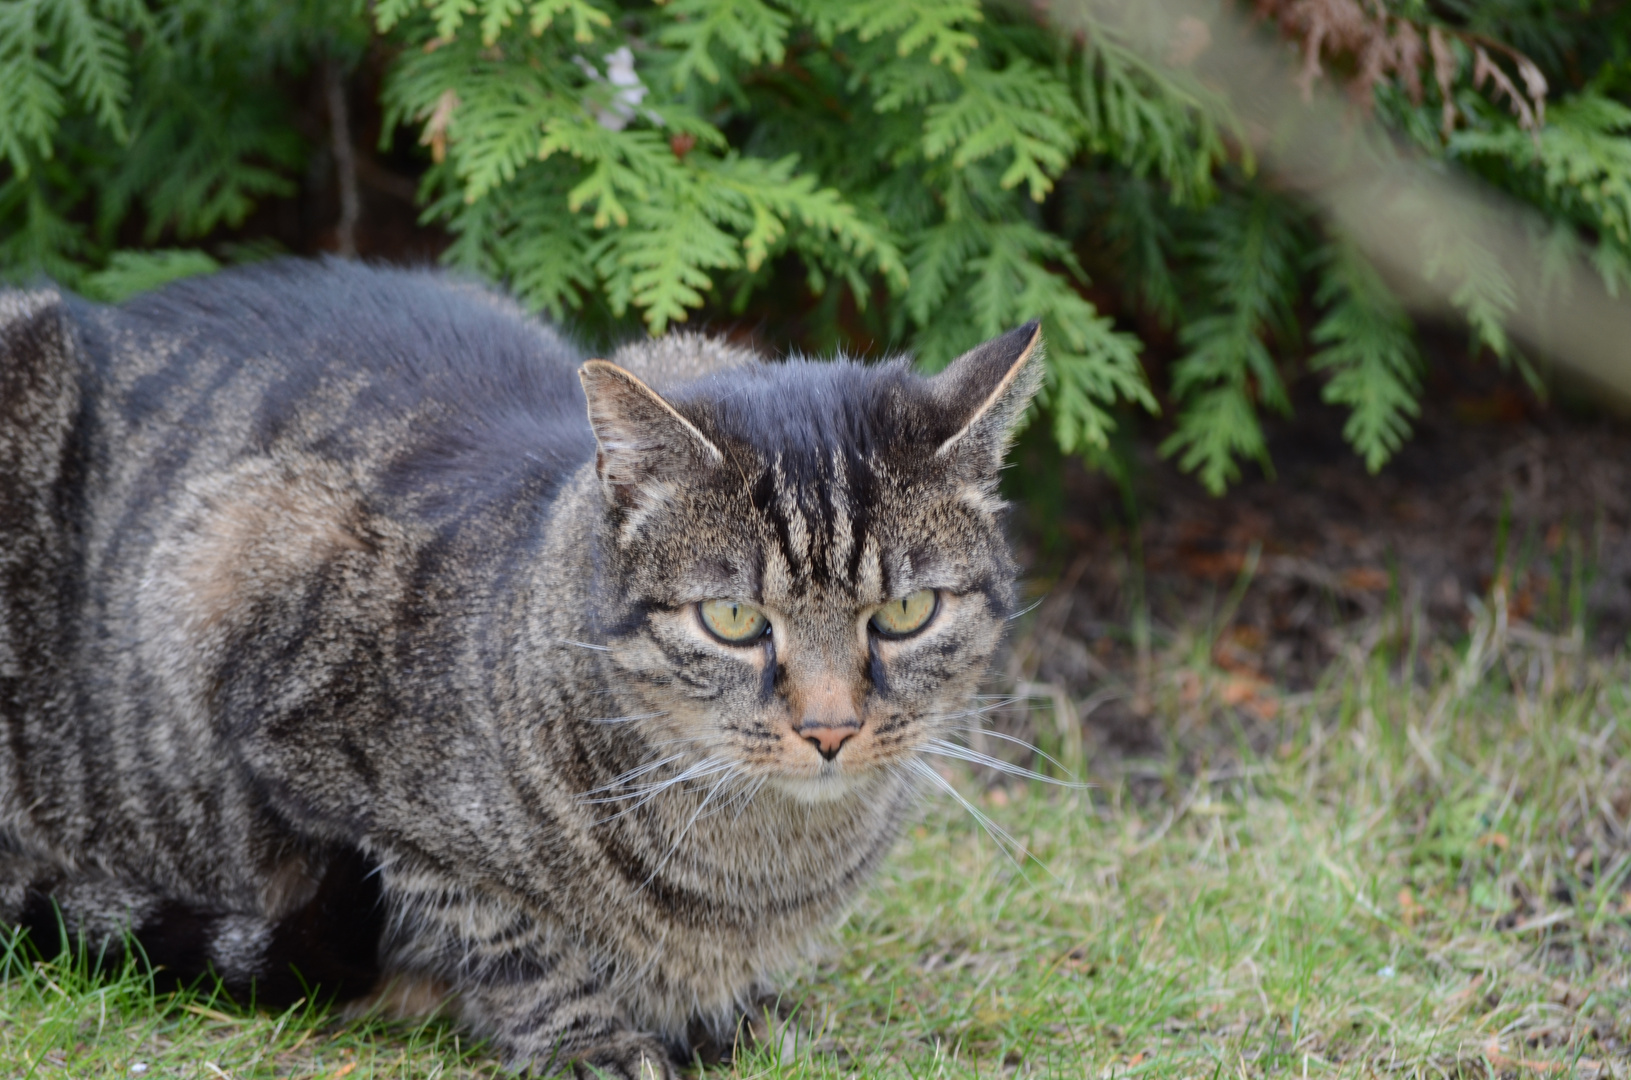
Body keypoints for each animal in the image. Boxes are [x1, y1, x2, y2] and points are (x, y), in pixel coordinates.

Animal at [0, 264, 1037, 1080]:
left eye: (905, 614)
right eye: (735, 621)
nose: (830, 729)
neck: (753, 870)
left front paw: (736, 1010)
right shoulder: (253, 622)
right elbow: (497, 930)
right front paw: (589, 1037)